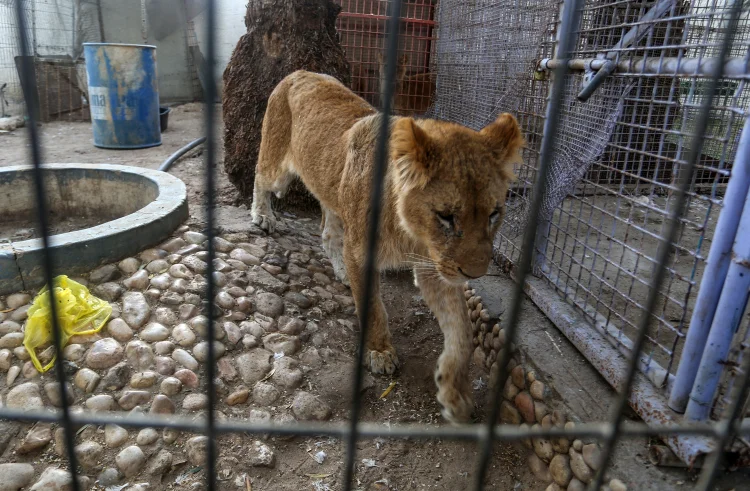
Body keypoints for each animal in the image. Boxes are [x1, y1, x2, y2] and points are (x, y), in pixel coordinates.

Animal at [253, 70, 524, 422]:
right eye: (446, 216)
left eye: (494, 214)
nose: (475, 274)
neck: (411, 232)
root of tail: (300, 72)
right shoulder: (364, 253)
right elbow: (372, 308)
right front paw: (380, 352)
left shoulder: (435, 268)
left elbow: (462, 333)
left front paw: (455, 394)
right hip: (278, 166)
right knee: (261, 177)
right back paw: (262, 216)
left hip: (333, 189)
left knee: (328, 232)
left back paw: (341, 272)